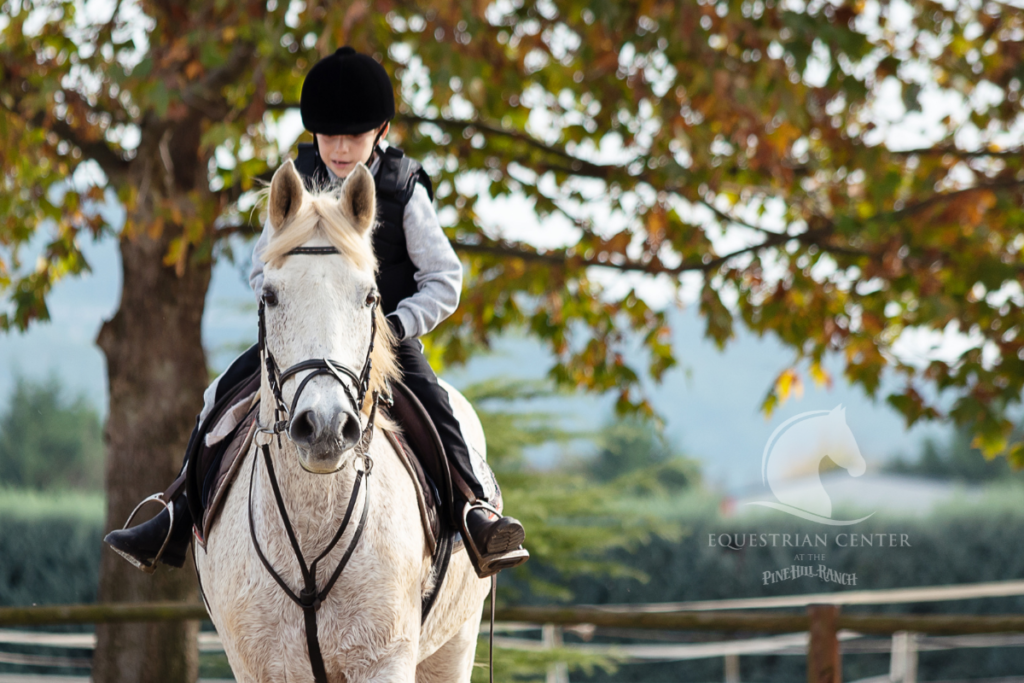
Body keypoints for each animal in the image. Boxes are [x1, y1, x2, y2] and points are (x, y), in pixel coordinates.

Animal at [197, 161, 493, 683]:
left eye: (370, 296)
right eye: (270, 295)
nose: (326, 427)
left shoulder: (384, 660)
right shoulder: (260, 666)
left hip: (455, 643)